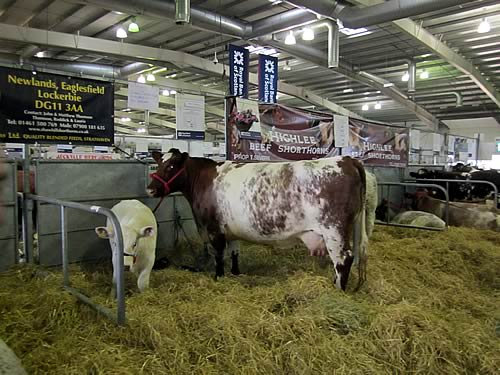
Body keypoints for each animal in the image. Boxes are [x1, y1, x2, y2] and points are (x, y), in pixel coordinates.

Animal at [146, 149, 374, 290]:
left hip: (333, 229)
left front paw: (219, 278)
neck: (203, 180)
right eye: (158, 164)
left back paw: (337, 290)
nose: (150, 189)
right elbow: (234, 252)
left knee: (343, 259)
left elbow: (218, 256)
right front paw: (236, 273)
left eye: (172, 166)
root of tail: (347, 159)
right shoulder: (230, 229)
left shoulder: (214, 229)